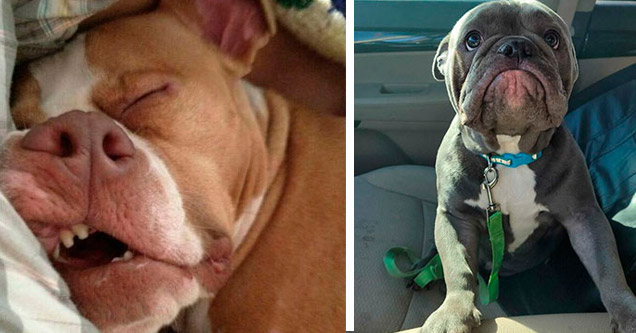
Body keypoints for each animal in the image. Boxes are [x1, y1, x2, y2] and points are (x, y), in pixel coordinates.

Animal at [428, 0, 636, 332]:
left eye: (552, 38)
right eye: (472, 39)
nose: (516, 46)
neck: (510, 155)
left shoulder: (584, 217)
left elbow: (607, 266)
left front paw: (628, 313)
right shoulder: (454, 218)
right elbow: (458, 268)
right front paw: (452, 313)